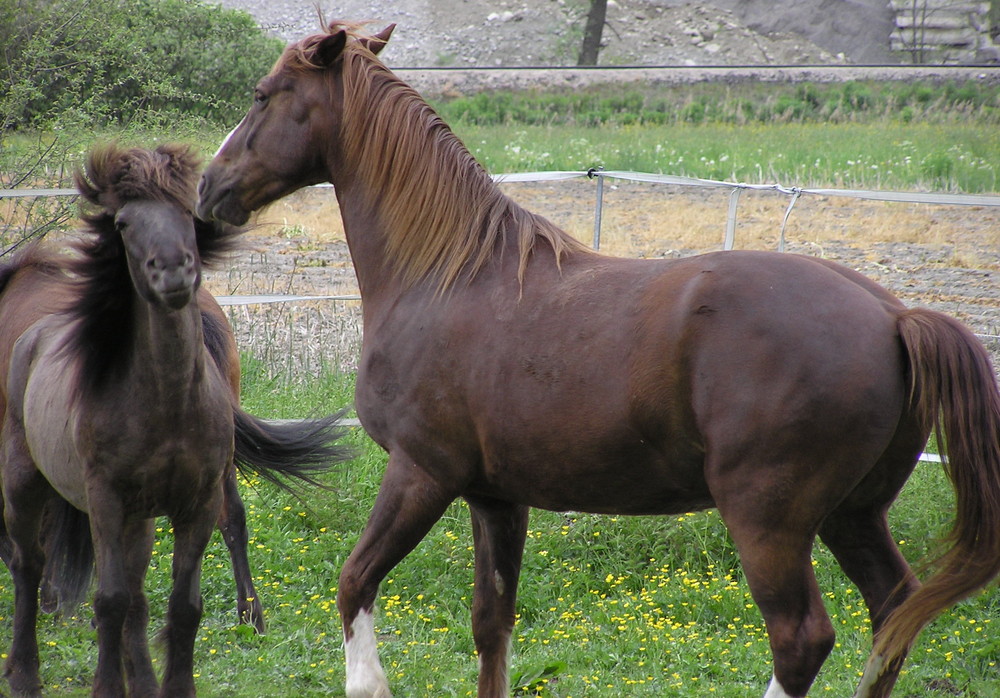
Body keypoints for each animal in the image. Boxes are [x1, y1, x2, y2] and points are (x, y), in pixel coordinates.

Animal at [0, 143, 350, 696]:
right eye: (122, 223)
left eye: (189, 212)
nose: (172, 271)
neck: (165, 406)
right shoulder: (106, 503)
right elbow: (110, 600)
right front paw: (107, 685)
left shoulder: (194, 505)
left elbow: (181, 606)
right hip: (25, 483)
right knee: (28, 566)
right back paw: (24, 671)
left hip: (139, 518)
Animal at [197, 24, 1000, 696]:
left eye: (264, 94)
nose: (209, 189)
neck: (447, 276)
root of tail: (895, 316)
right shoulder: (496, 497)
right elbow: (492, 627)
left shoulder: (422, 473)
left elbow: (354, 584)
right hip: (854, 514)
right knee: (892, 615)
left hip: (770, 522)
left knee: (801, 638)